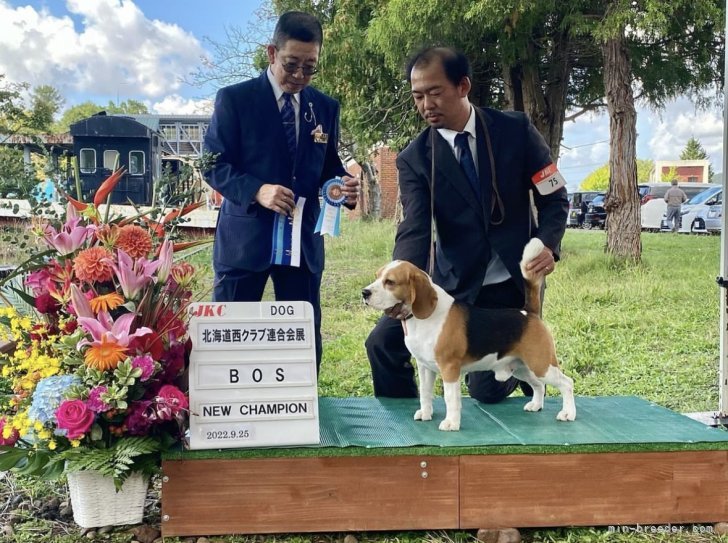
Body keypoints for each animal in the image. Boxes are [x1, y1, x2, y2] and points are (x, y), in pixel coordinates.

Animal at [362, 240, 576, 432]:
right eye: (377, 277)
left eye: (390, 282)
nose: (364, 292)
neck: (424, 318)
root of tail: (528, 313)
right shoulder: (424, 367)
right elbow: (425, 392)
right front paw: (426, 413)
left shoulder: (449, 368)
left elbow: (450, 398)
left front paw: (451, 423)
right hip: (523, 367)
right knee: (539, 385)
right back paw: (536, 405)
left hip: (541, 364)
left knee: (567, 383)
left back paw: (568, 413)